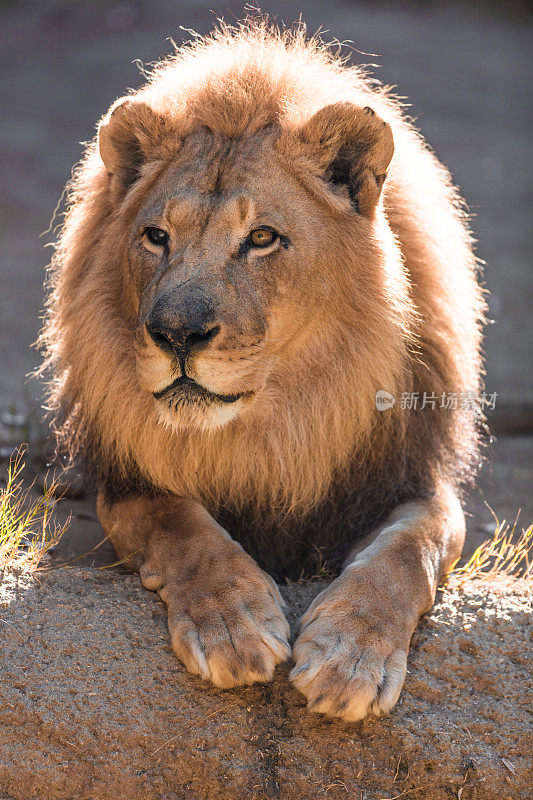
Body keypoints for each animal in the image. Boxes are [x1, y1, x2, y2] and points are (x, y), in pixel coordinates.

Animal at [40, 18, 482, 720]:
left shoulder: (411, 476)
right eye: (156, 236)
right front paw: (233, 624)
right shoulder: (127, 477)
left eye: (262, 239)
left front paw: (349, 657)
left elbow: (408, 550)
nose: (177, 334)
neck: (274, 430)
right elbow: (177, 521)